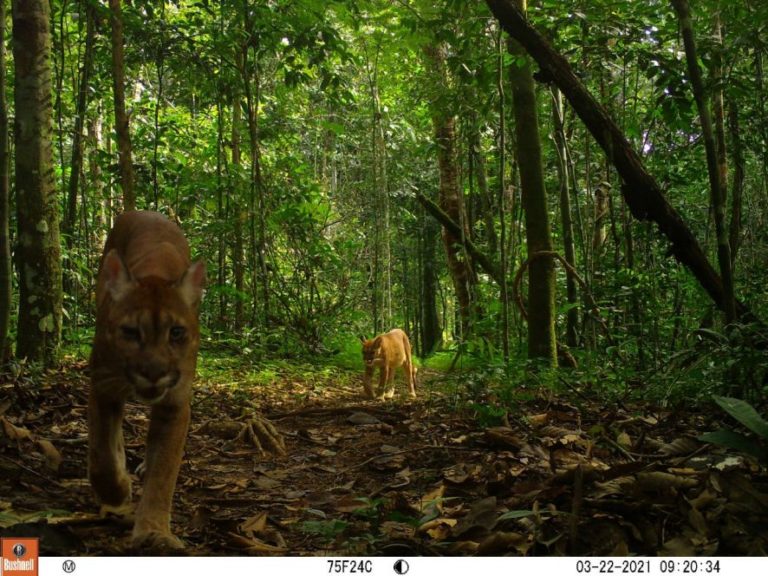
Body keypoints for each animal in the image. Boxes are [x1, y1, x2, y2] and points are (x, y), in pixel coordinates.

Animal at [88, 210, 204, 548]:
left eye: (176, 332)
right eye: (130, 332)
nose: (154, 372)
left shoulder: (175, 403)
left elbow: (164, 470)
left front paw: (154, 532)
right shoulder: (104, 386)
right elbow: (101, 454)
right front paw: (117, 492)